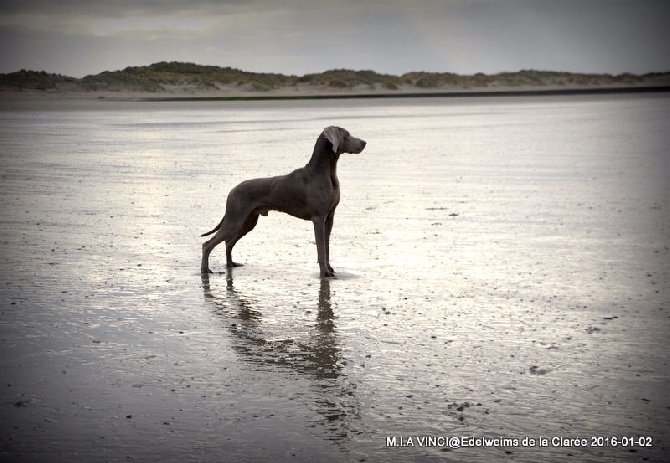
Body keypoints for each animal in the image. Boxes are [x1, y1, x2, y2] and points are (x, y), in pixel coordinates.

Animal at [201, 127, 368, 278]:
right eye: (347, 135)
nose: (364, 142)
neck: (325, 172)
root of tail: (233, 189)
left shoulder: (330, 218)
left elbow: (326, 247)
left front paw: (330, 268)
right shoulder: (318, 218)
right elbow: (321, 249)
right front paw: (324, 272)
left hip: (247, 222)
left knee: (228, 242)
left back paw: (230, 264)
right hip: (234, 220)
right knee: (208, 244)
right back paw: (205, 270)